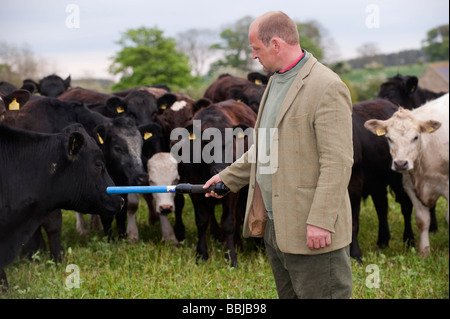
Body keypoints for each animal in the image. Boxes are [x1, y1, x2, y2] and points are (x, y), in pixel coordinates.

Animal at [177, 100, 256, 268]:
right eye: (205, 143)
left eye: (230, 142)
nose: (220, 170)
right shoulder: (194, 190)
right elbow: (202, 220)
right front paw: (201, 254)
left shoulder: (232, 192)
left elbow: (229, 222)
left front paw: (231, 256)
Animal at [364, 94, 448, 258]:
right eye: (389, 138)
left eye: (416, 137)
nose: (401, 163)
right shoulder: (410, 187)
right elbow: (422, 220)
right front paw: (424, 252)